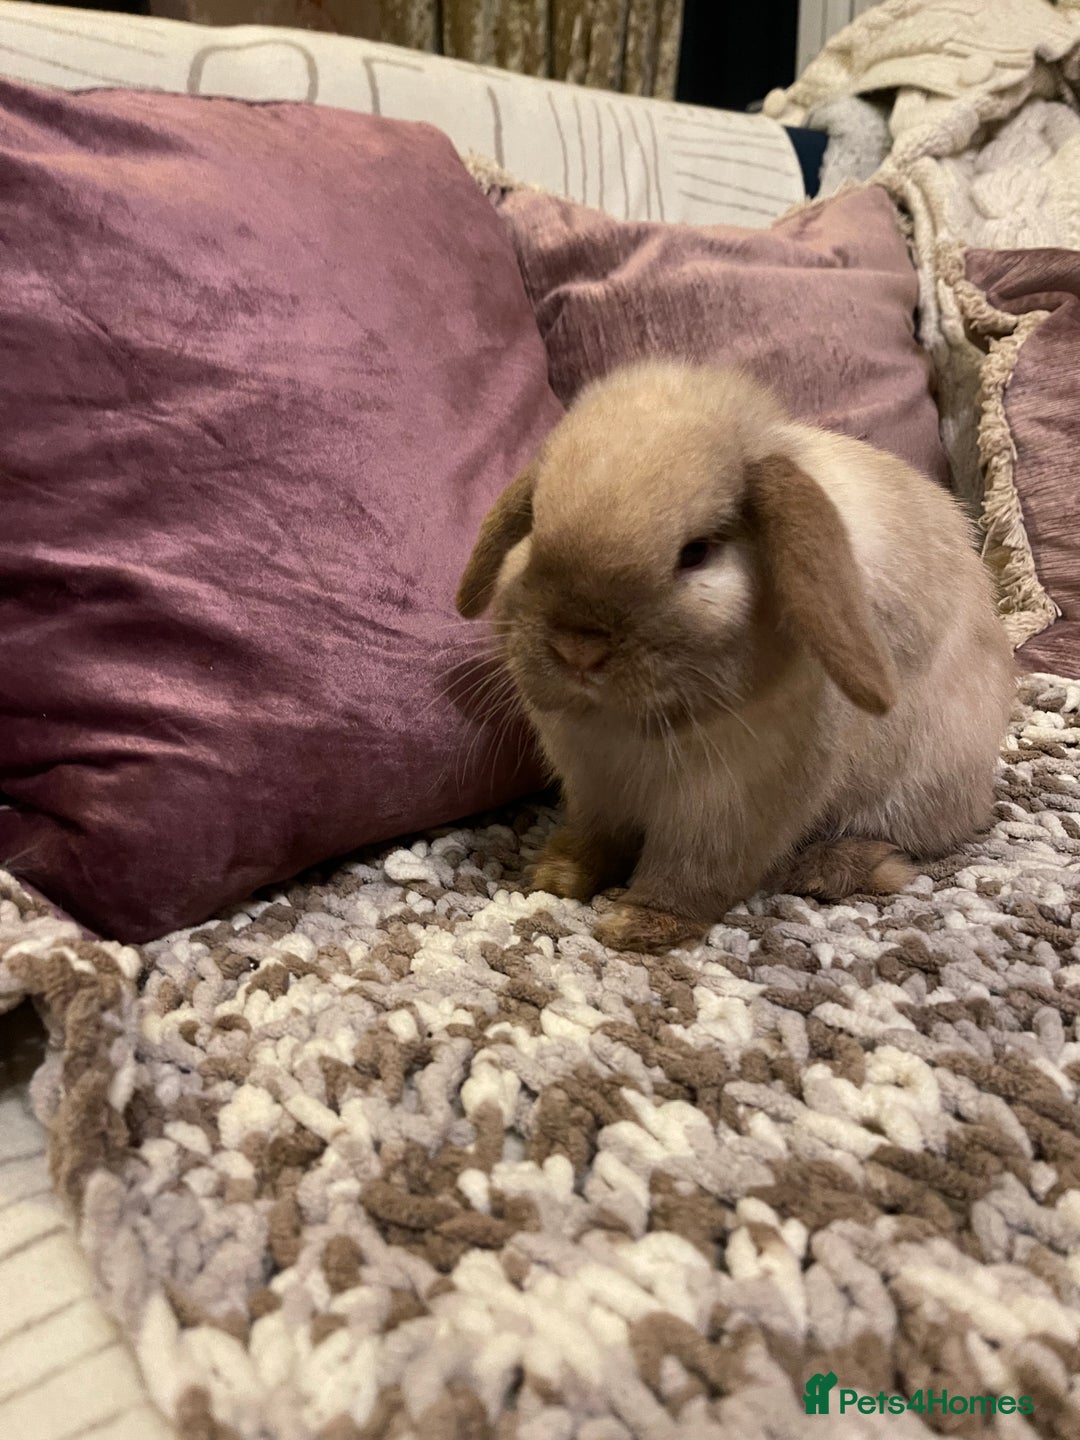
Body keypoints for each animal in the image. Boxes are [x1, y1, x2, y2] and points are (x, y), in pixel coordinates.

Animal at [455, 361, 1015, 954]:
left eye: (696, 553)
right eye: (535, 527)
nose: (578, 648)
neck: (626, 728)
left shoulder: (727, 810)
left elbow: (691, 874)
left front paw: (638, 926)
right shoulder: (593, 788)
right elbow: (594, 837)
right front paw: (557, 876)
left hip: (917, 787)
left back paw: (827, 869)